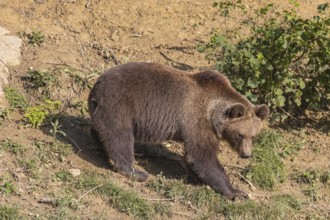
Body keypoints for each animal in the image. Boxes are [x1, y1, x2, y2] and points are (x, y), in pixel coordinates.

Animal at [87, 62, 268, 199]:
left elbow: (194, 158)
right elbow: (202, 156)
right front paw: (236, 192)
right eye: (240, 135)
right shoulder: (197, 120)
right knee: (120, 138)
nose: (246, 154)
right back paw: (136, 172)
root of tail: (96, 86)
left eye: (254, 136)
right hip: (120, 105)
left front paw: (197, 178)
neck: (213, 110)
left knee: (104, 131)